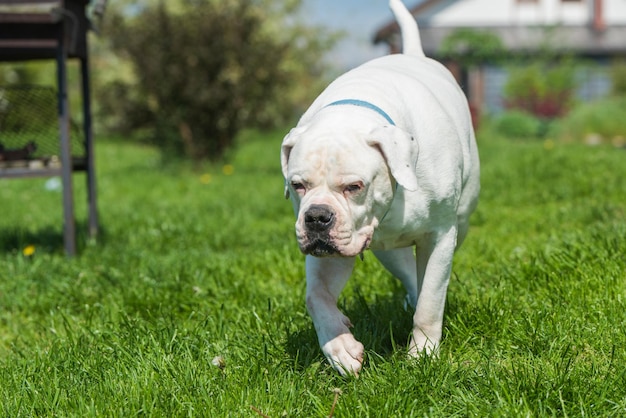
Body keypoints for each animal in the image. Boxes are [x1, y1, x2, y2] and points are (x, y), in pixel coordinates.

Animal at [280, 0, 480, 376]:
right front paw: (339, 347)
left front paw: (422, 353)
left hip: (459, 223)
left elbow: (432, 299)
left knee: (428, 280)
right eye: (297, 185)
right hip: (387, 250)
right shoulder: (330, 254)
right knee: (409, 273)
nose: (317, 217)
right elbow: (316, 297)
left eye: (354, 186)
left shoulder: (439, 236)